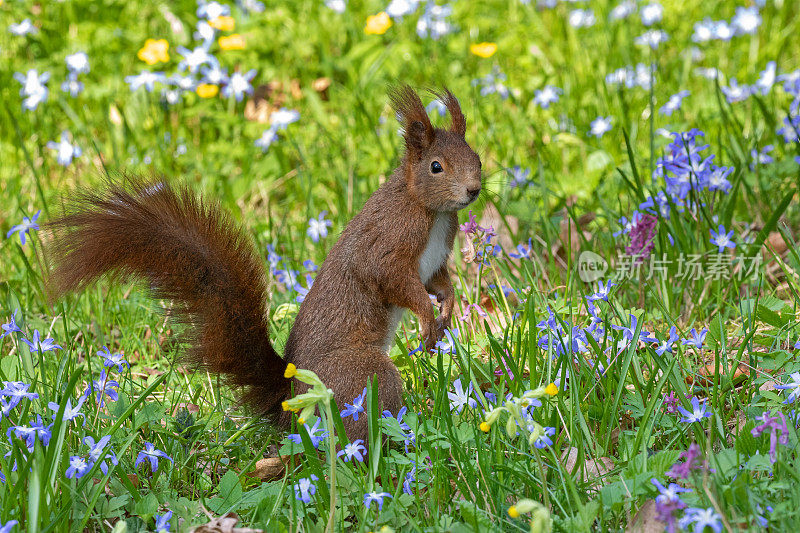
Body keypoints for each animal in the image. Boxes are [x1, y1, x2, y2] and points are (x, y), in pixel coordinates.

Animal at [48, 85, 482, 438]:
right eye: (436, 167)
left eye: (476, 158)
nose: (474, 190)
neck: (431, 210)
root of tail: (290, 400)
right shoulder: (387, 245)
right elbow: (395, 282)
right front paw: (427, 317)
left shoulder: (435, 259)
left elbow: (439, 281)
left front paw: (447, 308)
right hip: (364, 376)